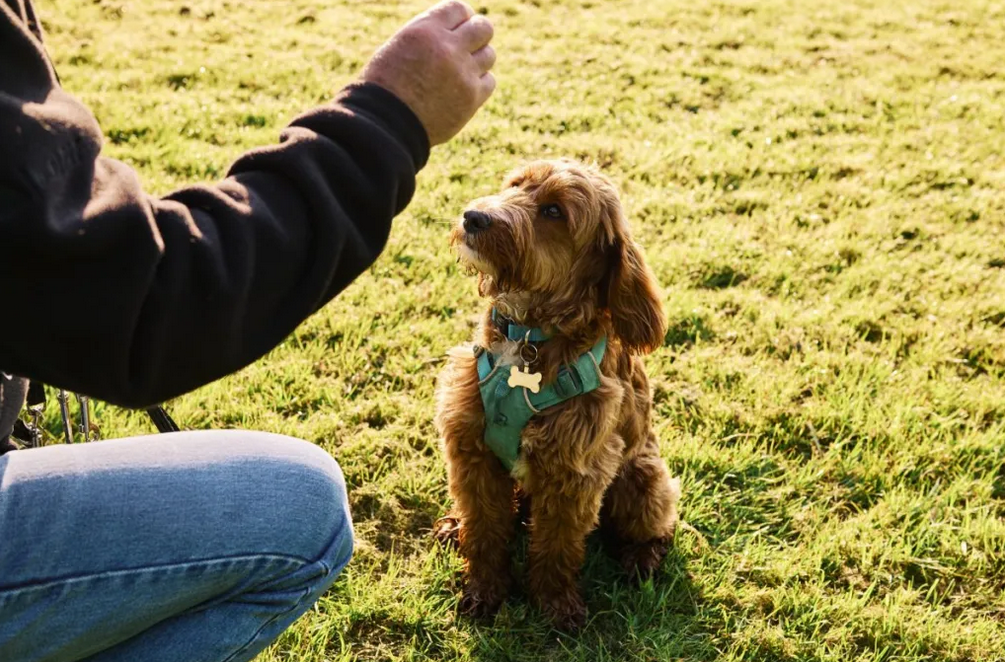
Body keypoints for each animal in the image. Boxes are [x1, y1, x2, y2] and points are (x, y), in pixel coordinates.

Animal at [434, 157, 683, 630]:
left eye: (554, 211)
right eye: (515, 185)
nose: (473, 216)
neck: (529, 335)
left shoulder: (574, 473)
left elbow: (557, 546)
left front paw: (555, 604)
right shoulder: (472, 451)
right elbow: (485, 528)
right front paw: (484, 590)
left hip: (643, 479)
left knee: (657, 524)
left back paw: (642, 557)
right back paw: (454, 525)